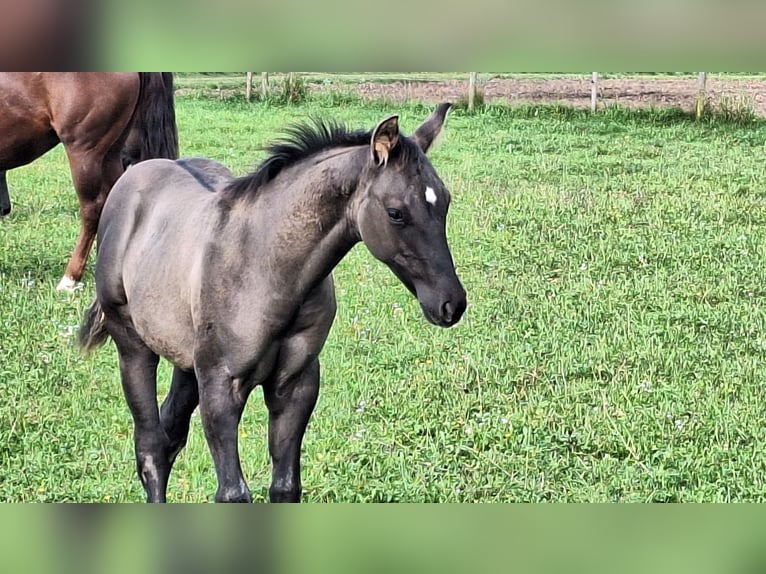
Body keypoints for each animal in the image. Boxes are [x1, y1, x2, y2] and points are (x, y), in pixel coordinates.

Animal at [78, 102, 467, 503]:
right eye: (396, 212)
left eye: (445, 201)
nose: (451, 303)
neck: (265, 266)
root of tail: (133, 174)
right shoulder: (222, 386)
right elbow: (232, 493)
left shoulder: (295, 384)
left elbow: (285, 486)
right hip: (133, 346)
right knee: (152, 446)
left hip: (186, 359)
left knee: (170, 434)